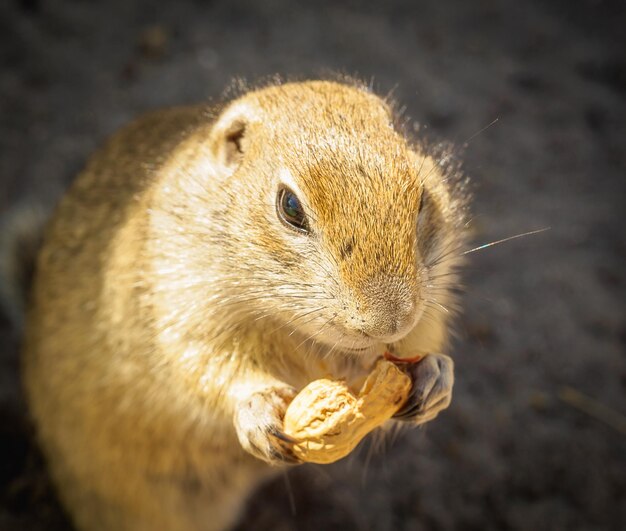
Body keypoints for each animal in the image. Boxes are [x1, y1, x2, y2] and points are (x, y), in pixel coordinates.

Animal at [18, 79, 468, 531]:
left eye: (422, 197)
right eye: (290, 207)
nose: (390, 323)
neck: (294, 329)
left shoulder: (427, 312)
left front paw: (436, 375)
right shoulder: (180, 306)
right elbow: (208, 365)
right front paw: (257, 407)